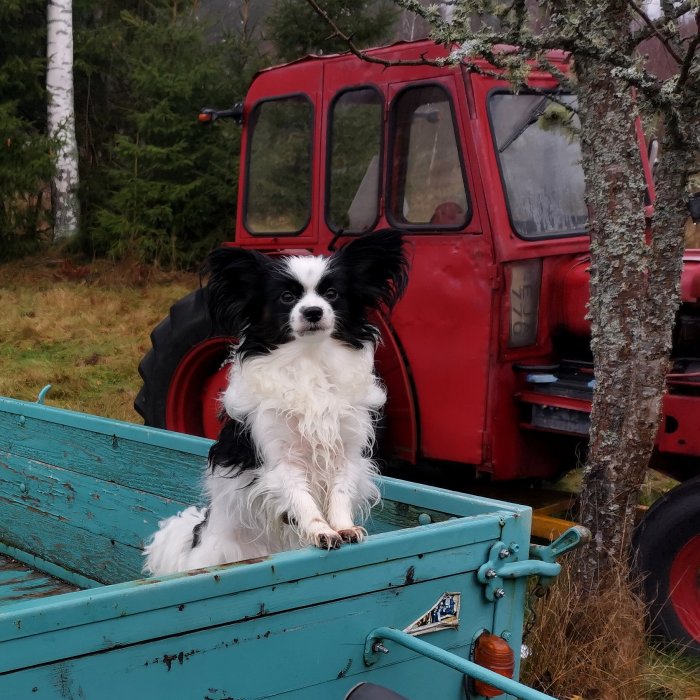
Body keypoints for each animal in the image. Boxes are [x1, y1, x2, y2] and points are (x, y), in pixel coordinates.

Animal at [146, 230, 410, 576]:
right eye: (286, 297)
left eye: (332, 294)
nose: (313, 312)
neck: (310, 359)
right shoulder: (279, 459)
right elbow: (301, 498)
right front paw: (321, 531)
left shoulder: (347, 453)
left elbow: (339, 493)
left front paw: (343, 528)